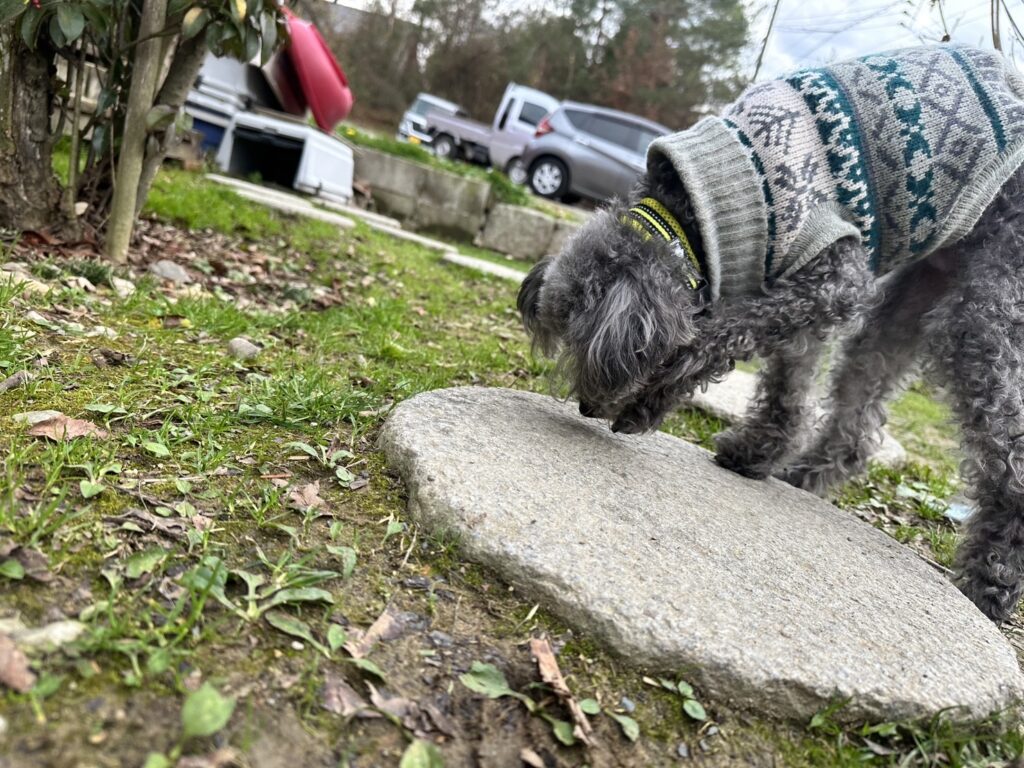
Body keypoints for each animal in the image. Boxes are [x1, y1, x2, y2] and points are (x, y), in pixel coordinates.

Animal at [517, 45, 1024, 623]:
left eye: (587, 348)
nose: (584, 407)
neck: (696, 215)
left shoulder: (831, 279)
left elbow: (721, 335)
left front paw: (651, 399)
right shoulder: (806, 288)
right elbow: (788, 378)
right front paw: (759, 450)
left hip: (985, 311)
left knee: (1005, 441)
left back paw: (993, 575)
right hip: (911, 296)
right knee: (859, 412)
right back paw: (805, 472)